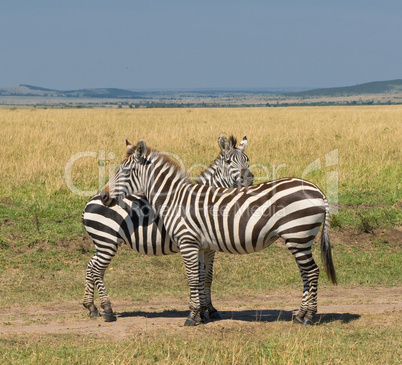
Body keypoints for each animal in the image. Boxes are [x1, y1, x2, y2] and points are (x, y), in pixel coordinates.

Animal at [81, 134, 253, 318]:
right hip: (107, 241)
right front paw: (205, 310)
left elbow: (206, 277)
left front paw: (205, 309)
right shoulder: (205, 245)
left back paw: (91, 306)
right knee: (97, 270)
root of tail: (90, 203)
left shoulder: (204, 246)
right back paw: (107, 308)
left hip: (102, 243)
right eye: (228, 161)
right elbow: (202, 277)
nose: (249, 179)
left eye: (247, 159)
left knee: (90, 266)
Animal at [99, 139, 336, 324]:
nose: (103, 197)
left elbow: (193, 278)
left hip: (298, 235)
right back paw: (301, 315)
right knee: (306, 273)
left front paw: (193, 316)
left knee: (311, 272)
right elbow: (201, 278)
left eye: (125, 172)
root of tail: (318, 191)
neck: (174, 199)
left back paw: (308, 317)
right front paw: (202, 313)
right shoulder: (202, 245)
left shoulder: (188, 242)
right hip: (299, 238)